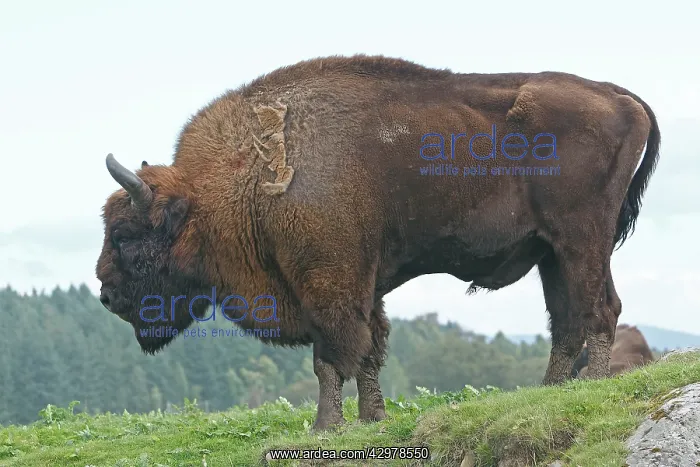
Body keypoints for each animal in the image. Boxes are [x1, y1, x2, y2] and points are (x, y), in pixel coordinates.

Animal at [96, 54, 660, 430]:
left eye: (124, 235)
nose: (105, 292)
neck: (242, 177)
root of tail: (621, 96)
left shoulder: (328, 282)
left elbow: (331, 355)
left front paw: (325, 427)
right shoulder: (365, 286)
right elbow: (370, 348)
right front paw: (372, 418)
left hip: (581, 241)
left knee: (596, 311)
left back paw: (592, 387)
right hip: (553, 252)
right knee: (569, 320)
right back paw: (545, 394)